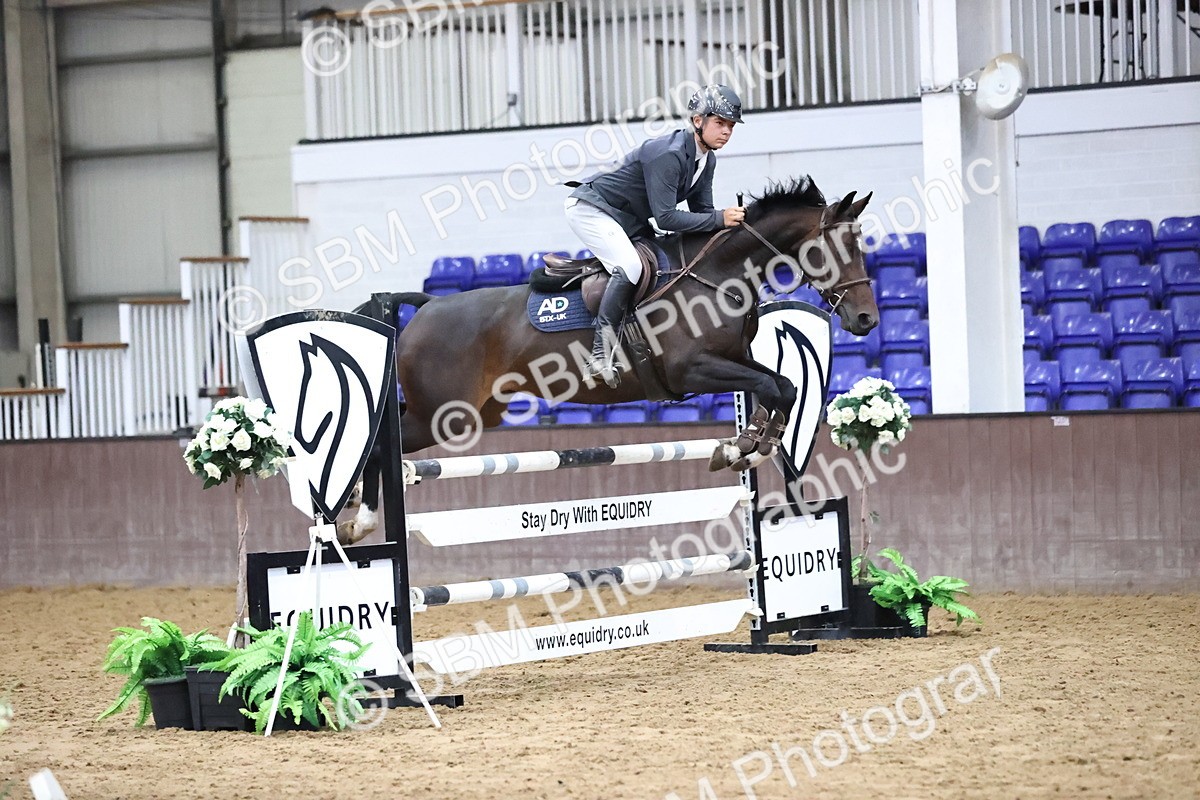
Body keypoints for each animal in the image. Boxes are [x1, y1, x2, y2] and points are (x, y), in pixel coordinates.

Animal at [340, 176, 877, 544]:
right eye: (834, 247)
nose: (867, 319)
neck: (717, 275)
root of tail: (425, 307)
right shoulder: (691, 370)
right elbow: (774, 386)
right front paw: (742, 448)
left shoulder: (734, 361)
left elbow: (781, 386)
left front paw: (745, 446)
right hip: (446, 415)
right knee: (381, 445)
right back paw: (360, 520)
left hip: (470, 412)